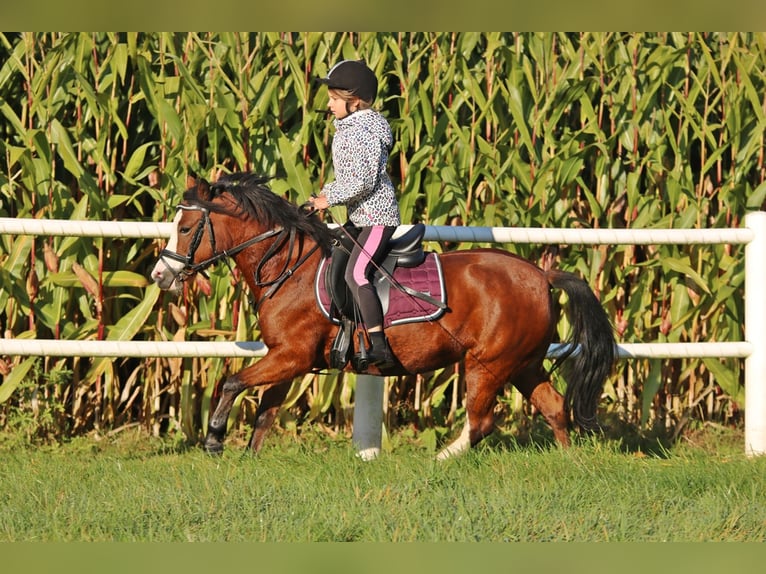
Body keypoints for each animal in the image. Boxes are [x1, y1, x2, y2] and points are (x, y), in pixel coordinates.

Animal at [150, 173, 616, 462]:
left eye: (187, 228)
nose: (159, 275)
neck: (288, 268)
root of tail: (541, 274)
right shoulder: (287, 359)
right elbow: (264, 412)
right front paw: (246, 456)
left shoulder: (291, 356)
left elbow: (232, 382)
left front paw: (214, 439)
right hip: (523, 363)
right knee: (554, 407)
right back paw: (568, 462)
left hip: (487, 364)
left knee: (481, 421)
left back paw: (440, 458)